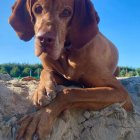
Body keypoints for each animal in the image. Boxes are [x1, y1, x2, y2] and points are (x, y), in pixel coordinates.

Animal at [9, 0, 132, 139]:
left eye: (66, 12)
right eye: (38, 9)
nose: (44, 39)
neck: (66, 52)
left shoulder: (121, 92)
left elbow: (69, 92)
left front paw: (40, 117)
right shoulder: (60, 74)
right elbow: (46, 71)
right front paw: (43, 90)